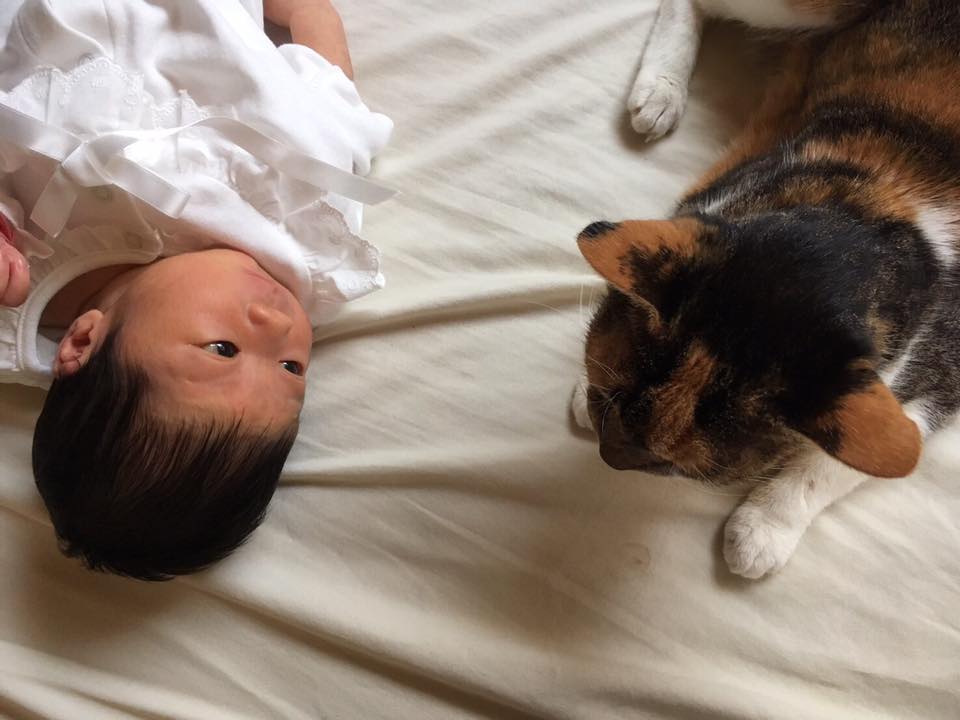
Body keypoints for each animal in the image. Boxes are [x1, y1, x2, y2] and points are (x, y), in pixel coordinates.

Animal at [572, 0, 960, 579]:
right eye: (607, 397)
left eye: (668, 466)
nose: (608, 453)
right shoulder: (730, 181)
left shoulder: (943, 370)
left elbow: (857, 458)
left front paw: (764, 530)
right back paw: (660, 92)